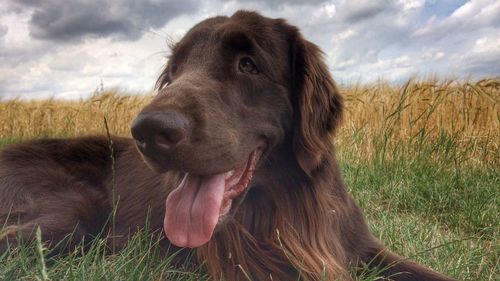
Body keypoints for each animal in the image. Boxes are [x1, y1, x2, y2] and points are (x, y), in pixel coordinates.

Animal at [0, 10, 454, 280]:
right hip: (71, 210)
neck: (283, 206)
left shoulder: (361, 248)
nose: (147, 131)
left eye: (248, 64)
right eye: (174, 71)